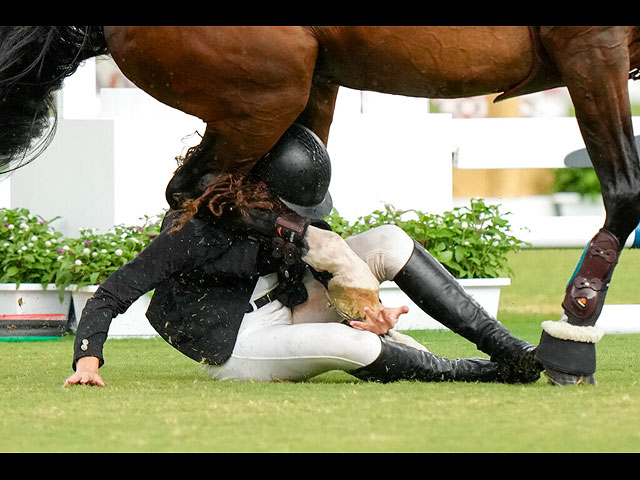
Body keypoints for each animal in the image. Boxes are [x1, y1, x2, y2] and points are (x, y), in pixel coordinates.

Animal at [1, 27, 640, 386]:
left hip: (307, 82)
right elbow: (626, 192)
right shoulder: (591, 45)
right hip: (264, 91)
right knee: (195, 193)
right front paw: (574, 335)